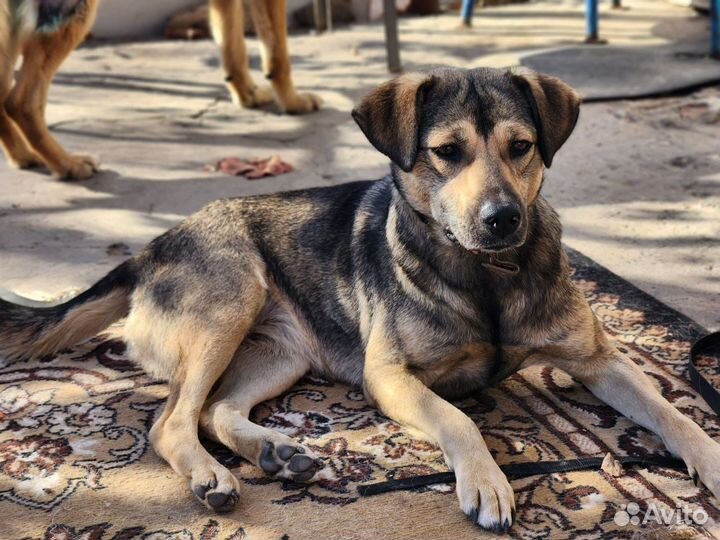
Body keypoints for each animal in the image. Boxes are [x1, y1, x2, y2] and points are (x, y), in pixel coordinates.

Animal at [0, 0, 320, 181]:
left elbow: (232, 44)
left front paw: (247, 94)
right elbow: (277, 51)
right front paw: (293, 101)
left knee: (6, 94)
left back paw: (25, 157)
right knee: (21, 100)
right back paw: (67, 165)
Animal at [1, 67, 720, 532]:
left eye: (521, 147)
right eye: (446, 152)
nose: (502, 220)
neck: (485, 275)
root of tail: (148, 249)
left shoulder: (600, 359)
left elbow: (676, 415)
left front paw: (709, 459)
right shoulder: (391, 377)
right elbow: (459, 420)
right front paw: (486, 478)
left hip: (281, 352)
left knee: (216, 409)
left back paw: (274, 451)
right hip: (230, 298)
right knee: (171, 419)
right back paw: (212, 475)